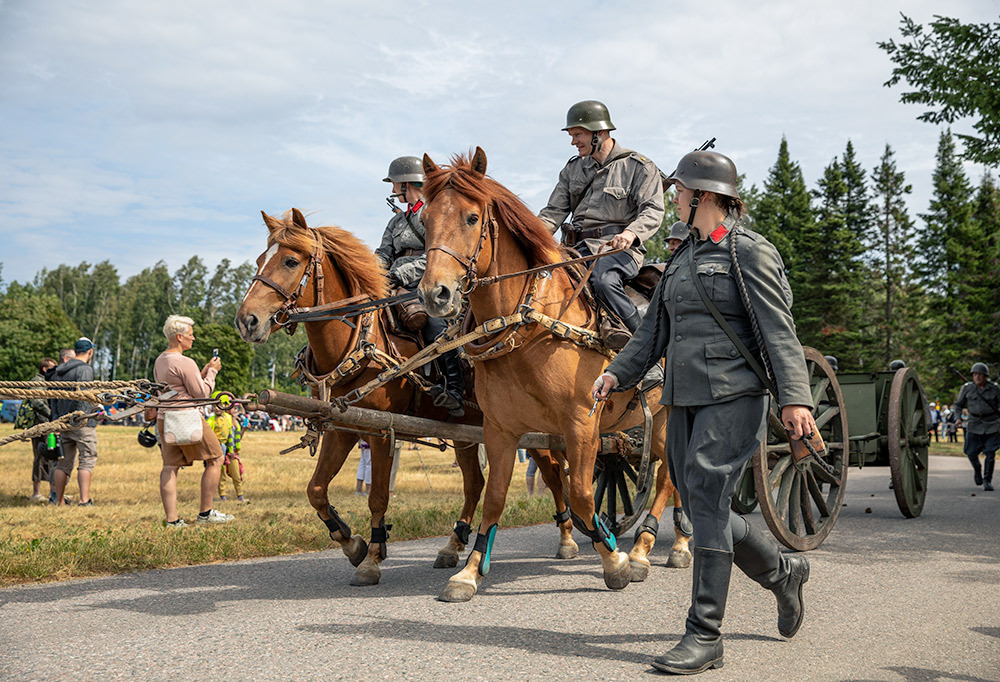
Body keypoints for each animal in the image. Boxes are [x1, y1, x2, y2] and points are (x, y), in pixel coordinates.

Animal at [234, 209, 580, 584]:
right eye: (260, 259)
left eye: (290, 260)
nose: (246, 321)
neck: (357, 342)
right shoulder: (344, 425)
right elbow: (315, 490)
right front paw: (351, 543)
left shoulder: (382, 432)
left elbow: (377, 497)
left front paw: (371, 558)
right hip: (468, 433)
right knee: (475, 484)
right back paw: (453, 544)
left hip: (526, 426)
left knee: (551, 473)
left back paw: (566, 537)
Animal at [418, 149, 692, 600]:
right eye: (424, 221)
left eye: (472, 218)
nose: (433, 294)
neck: (529, 323)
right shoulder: (500, 429)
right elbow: (495, 497)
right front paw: (469, 572)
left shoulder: (581, 423)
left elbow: (580, 493)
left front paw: (615, 560)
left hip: (669, 414)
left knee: (670, 475)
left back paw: (651, 548)